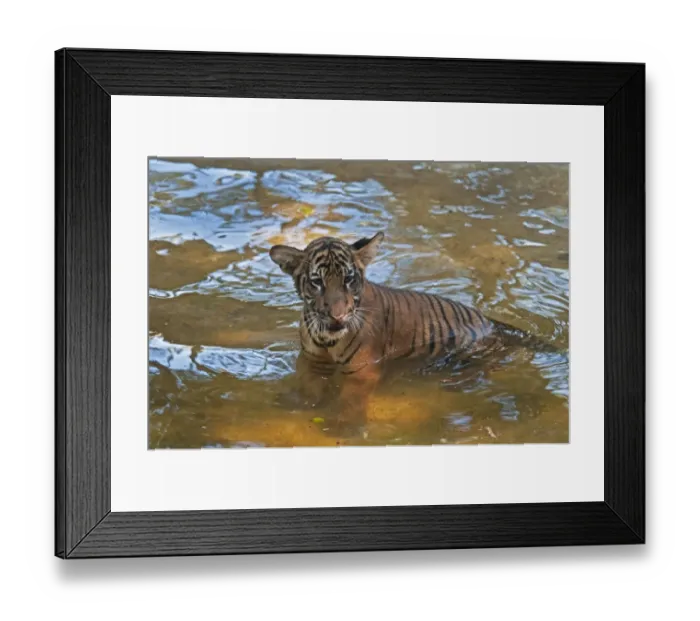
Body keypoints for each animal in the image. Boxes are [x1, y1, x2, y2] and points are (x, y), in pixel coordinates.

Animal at [270, 231, 551, 434]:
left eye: (349, 279)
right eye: (317, 282)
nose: (338, 315)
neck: (326, 338)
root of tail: (491, 323)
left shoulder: (363, 370)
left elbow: (351, 398)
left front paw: (342, 424)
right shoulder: (312, 361)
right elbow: (310, 385)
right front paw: (308, 404)